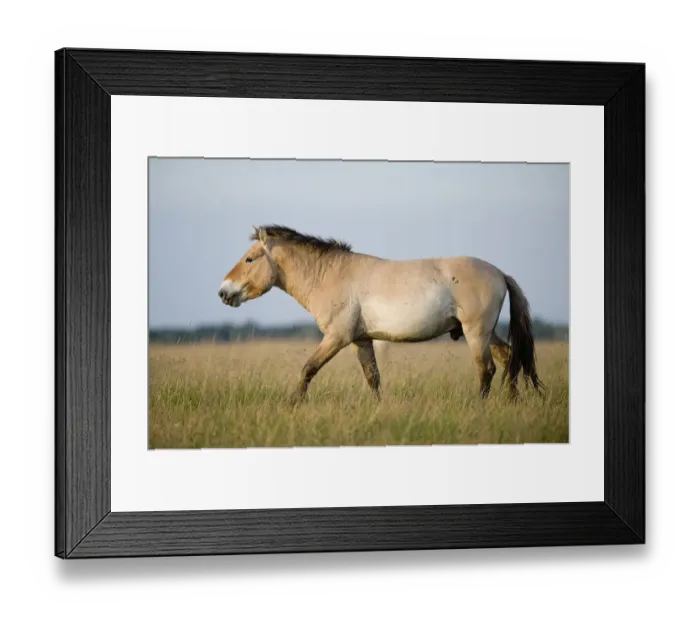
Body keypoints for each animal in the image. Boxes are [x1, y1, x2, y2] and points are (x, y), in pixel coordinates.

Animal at [218, 225, 544, 404]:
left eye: (249, 259)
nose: (223, 292)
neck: (331, 275)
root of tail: (500, 273)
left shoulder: (336, 338)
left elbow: (308, 369)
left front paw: (293, 404)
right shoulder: (361, 340)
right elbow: (373, 378)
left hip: (475, 332)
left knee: (486, 369)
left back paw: (480, 405)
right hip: (486, 332)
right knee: (509, 358)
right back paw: (513, 402)